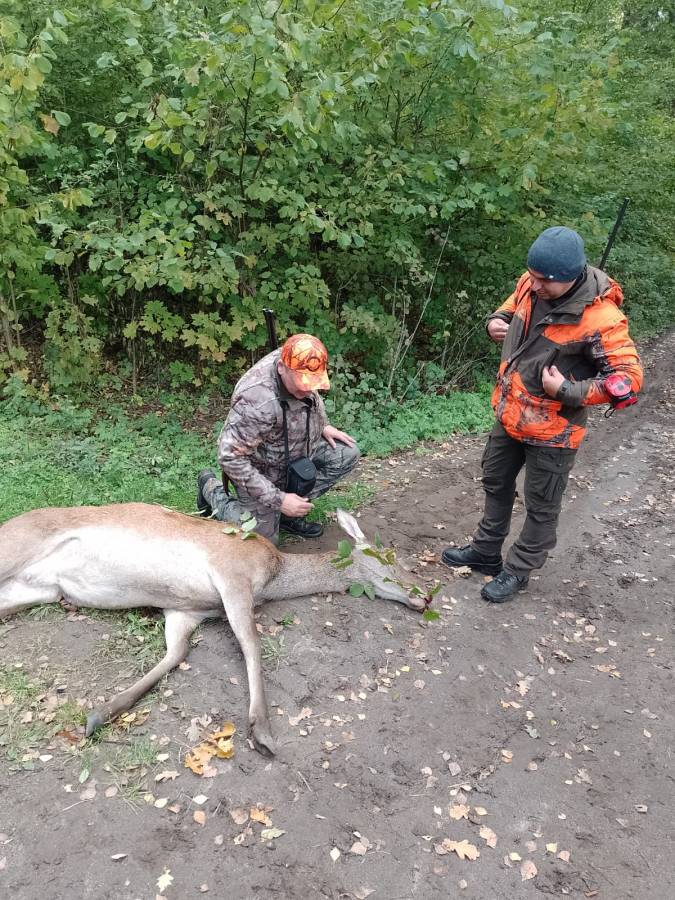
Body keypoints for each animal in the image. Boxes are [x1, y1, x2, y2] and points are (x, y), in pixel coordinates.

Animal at [0, 503, 431, 755]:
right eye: (391, 559)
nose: (426, 596)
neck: (273, 575)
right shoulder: (232, 574)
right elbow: (252, 644)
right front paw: (262, 731)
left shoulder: (186, 609)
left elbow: (177, 653)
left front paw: (101, 713)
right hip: (13, 550)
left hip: (37, 590)